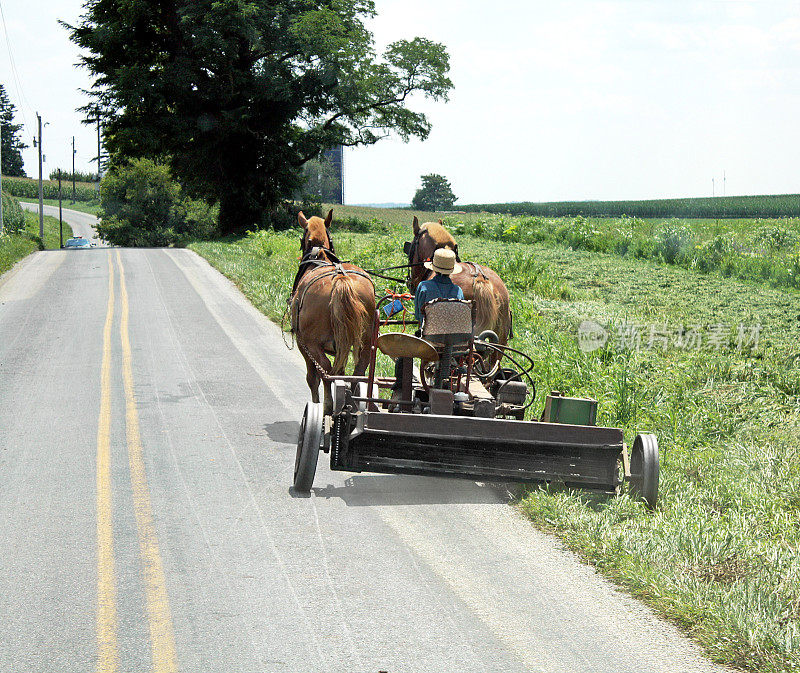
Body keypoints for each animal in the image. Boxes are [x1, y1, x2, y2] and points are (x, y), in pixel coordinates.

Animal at [290, 209, 376, 410]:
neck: (319, 257)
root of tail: (341, 280)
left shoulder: (302, 344)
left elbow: (312, 378)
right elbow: (342, 371)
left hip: (312, 343)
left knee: (326, 370)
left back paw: (328, 405)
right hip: (365, 342)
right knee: (358, 371)